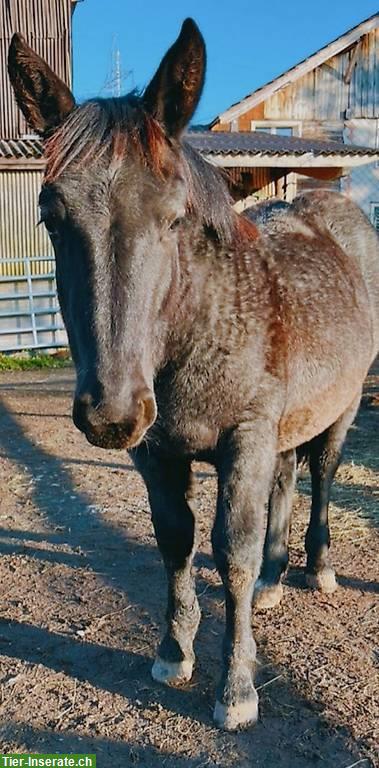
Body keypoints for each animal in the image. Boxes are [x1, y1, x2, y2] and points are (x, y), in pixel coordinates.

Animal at [8, 19, 379, 732]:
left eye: (174, 216)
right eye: (50, 216)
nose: (112, 412)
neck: (204, 324)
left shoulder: (245, 439)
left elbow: (229, 550)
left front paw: (236, 690)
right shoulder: (158, 450)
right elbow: (175, 540)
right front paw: (173, 652)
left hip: (338, 411)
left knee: (321, 475)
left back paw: (316, 569)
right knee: (286, 483)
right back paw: (272, 581)